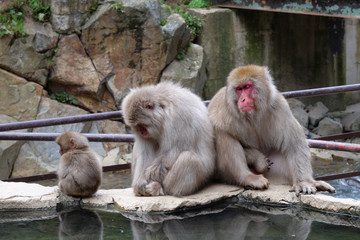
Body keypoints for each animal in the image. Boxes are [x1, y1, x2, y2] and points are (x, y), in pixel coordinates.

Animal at [207, 64, 336, 196]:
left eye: (247, 87)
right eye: (239, 89)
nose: (242, 99)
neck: (253, 115)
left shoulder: (279, 105)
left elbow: (294, 142)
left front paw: (304, 182)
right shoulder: (221, 109)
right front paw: (258, 160)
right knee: (222, 133)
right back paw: (248, 177)